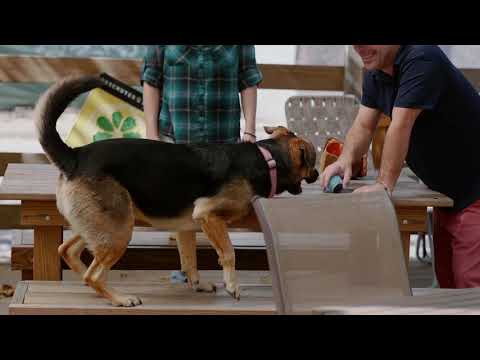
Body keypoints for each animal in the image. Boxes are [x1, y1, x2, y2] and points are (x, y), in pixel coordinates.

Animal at [35, 76, 320, 306]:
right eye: (312, 163)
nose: (318, 175)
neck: (266, 158)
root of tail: (74, 156)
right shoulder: (208, 214)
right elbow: (228, 253)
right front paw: (232, 286)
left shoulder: (188, 226)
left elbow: (189, 260)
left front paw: (197, 284)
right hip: (119, 229)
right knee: (92, 273)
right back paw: (119, 298)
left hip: (104, 224)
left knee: (68, 251)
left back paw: (98, 287)